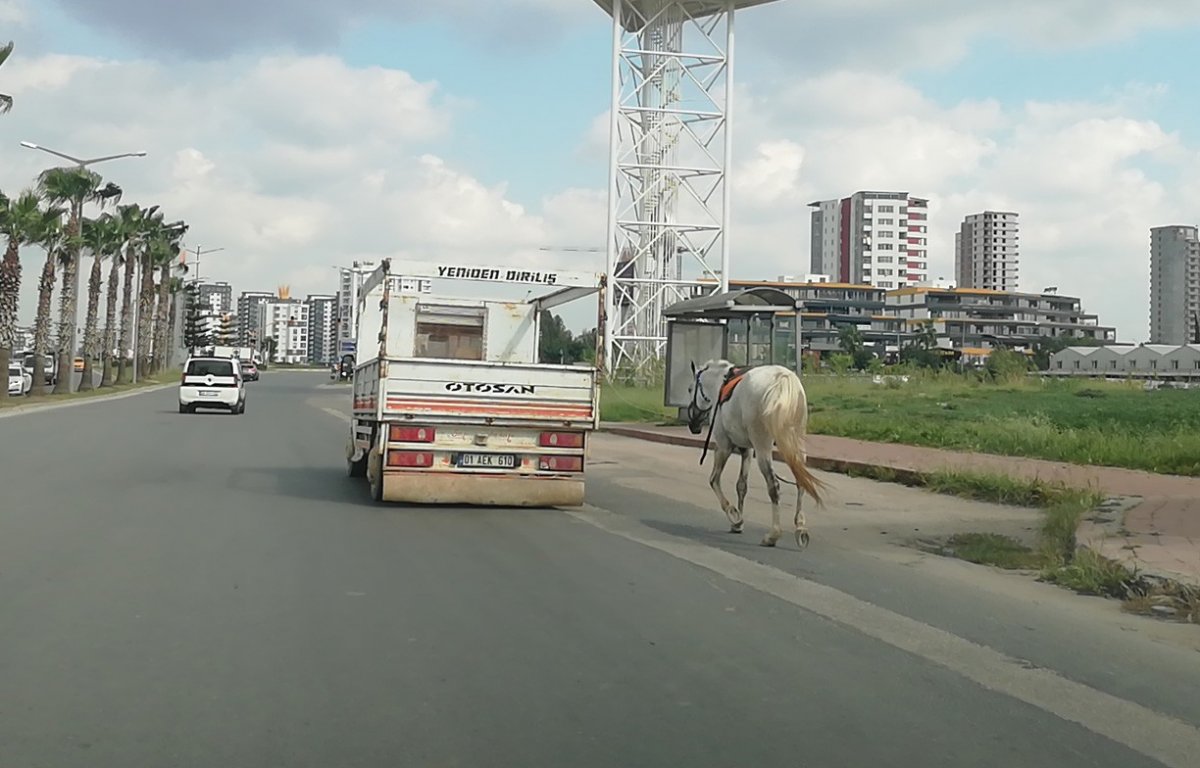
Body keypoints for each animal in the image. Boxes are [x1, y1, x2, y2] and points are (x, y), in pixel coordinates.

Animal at [686, 360, 825, 547]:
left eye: (690, 389)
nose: (693, 424)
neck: (720, 384)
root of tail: (783, 380)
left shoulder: (723, 446)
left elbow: (714, 480)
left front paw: (734, 515)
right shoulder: (748, 450)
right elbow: (741, 486)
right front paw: (738, 523)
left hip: (763, 448)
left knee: (773, 486)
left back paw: (773, 534)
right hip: (796, 444)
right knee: (800, 482)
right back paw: (800, 526)